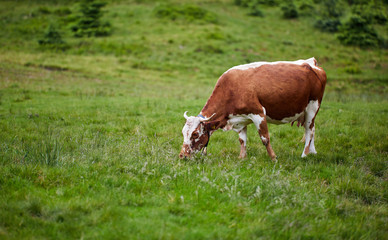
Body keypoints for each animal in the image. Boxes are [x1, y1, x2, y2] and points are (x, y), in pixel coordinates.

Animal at [180, 57, 326, 160]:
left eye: (195, 134)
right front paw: (242, 157)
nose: (182, 156)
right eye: (183, 133)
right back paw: (313, 152)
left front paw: (273, 158)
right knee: (312, 129)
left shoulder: (258, 113)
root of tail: (311, 62)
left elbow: (265, 138)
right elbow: (242, 140)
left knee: (309, 131)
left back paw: (304, 155)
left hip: (313, 107)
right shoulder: (239, 119)